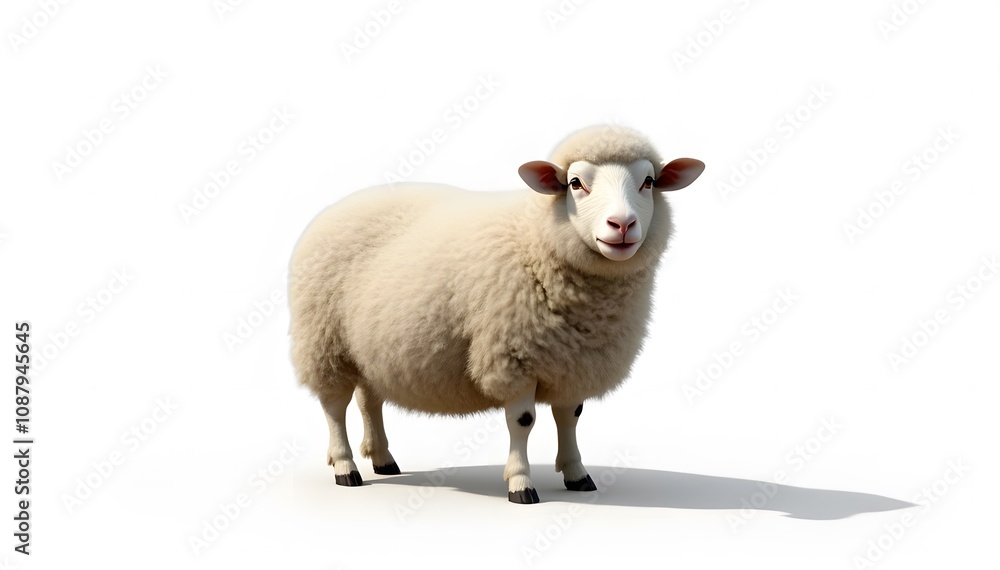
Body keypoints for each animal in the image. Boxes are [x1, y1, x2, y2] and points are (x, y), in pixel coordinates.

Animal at [288, 125, 704, 503]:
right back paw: (346, 467)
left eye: (649, 181)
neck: (537, 239)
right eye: (574, 183)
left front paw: (577, 473)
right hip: (325, 342)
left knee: (368, 400)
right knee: (334, 407)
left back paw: (383, 459)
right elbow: (523, 422)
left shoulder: (571, 361)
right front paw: (521, 484)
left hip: (368, 348)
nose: (622, 225)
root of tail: (336, 207)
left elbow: (569, 417)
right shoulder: (514, 358)